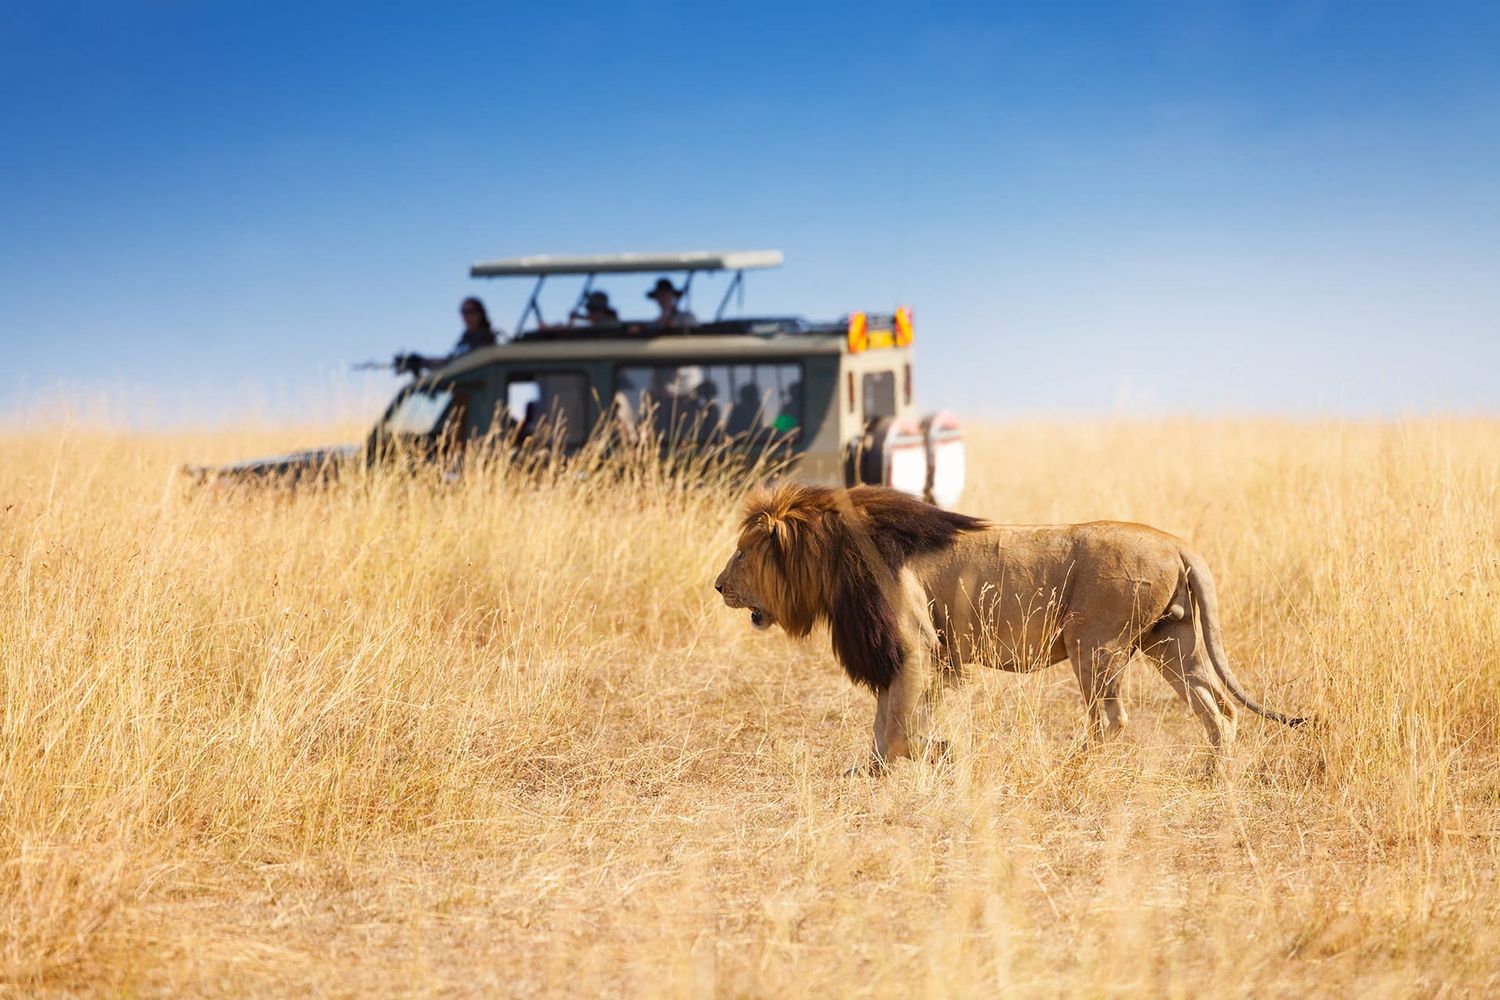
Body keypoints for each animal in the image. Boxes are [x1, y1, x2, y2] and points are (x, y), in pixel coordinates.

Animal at [714, 485, 1302, 773]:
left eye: (741, 552)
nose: (718, 586)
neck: (835, 556)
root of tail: (1177, 542)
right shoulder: (909, 654)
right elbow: (886, 722)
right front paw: (874, 770)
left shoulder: (915, 645)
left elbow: (899, 726)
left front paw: (938, 752)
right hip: (1170, 641)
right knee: (1218, 708)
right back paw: (1216, 773)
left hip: (1095, 644)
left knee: (1112, 721)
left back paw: (1072, 766)